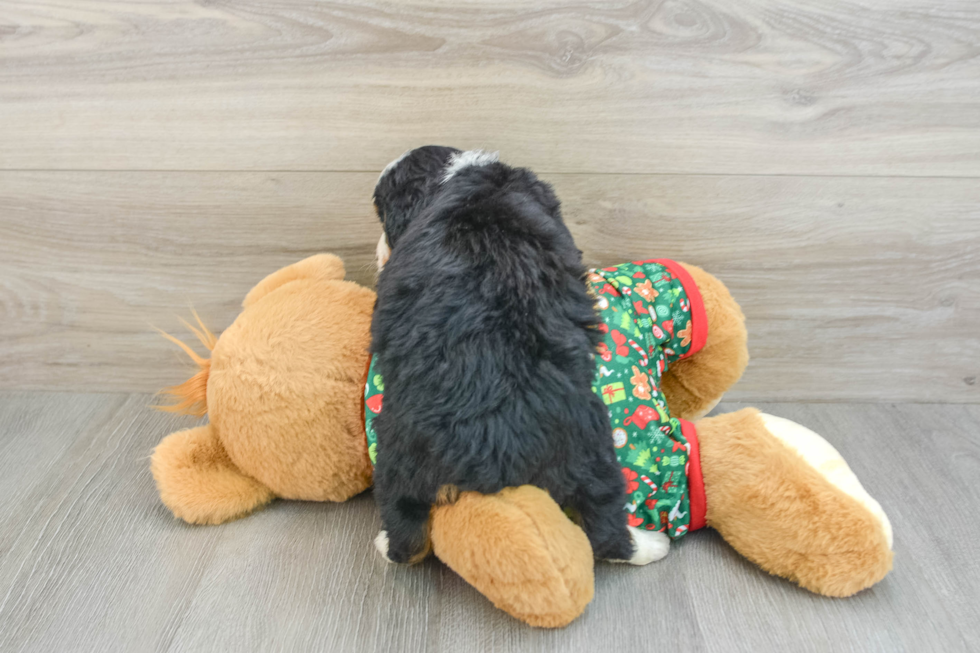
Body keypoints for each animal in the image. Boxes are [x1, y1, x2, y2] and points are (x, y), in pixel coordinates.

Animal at [368, 145, 652, 564]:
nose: (378, 252)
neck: (454, 177)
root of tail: (492, 440)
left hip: (396, 449)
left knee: (405, 524)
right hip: (592, 442)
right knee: (606, 520)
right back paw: (649, 544)